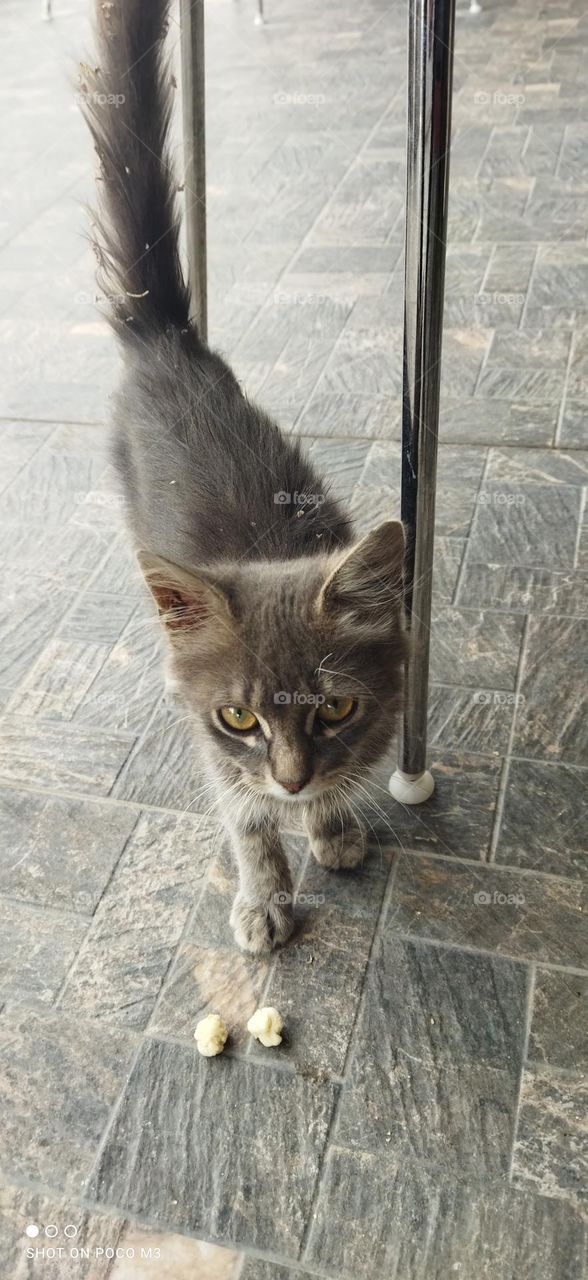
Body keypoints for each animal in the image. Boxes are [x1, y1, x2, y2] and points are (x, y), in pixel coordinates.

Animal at [82, 0, 404, 952]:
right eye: (238, 718)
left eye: (335, 711)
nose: (293, 780)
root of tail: (165, 339)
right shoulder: (214, 748)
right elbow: (243, 815)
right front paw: (266, 893)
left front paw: (331, 822)